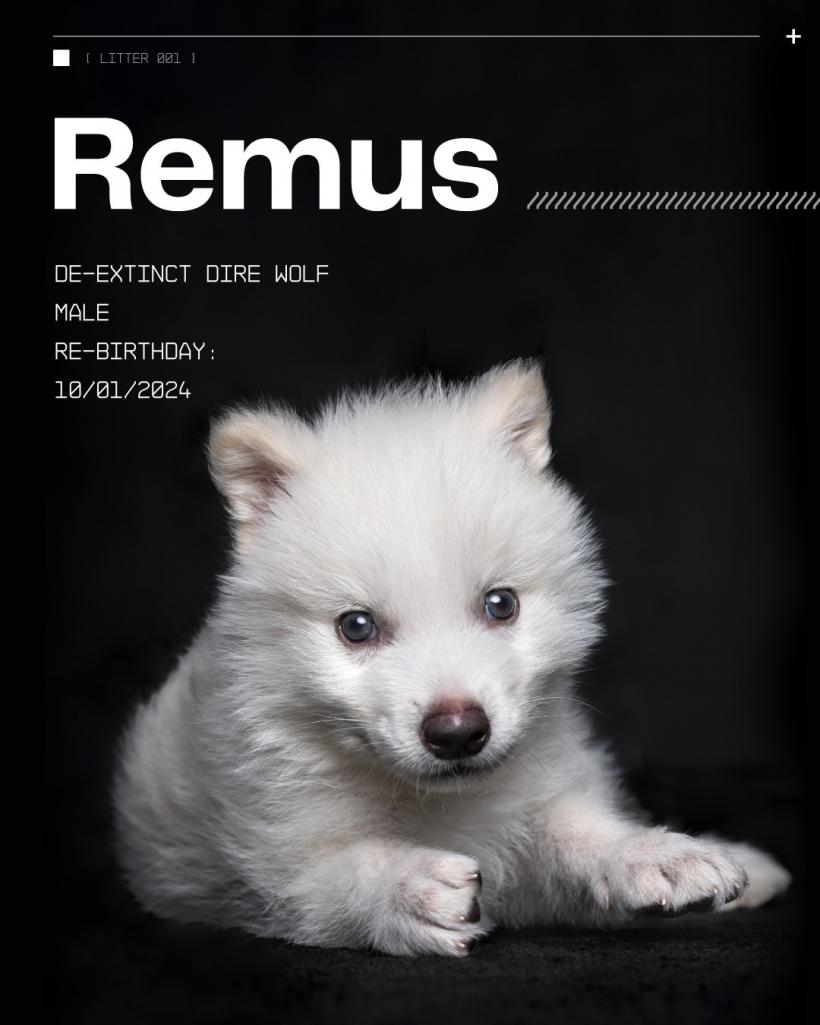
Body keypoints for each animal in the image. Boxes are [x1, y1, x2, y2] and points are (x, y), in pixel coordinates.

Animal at [114, 361, 790, 956]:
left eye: (500, 604)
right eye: (356, 627)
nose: (459, 731)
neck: (436, 804)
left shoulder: (536, 802)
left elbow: (575, 826)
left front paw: (652, 854)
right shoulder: (273, 859)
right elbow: (343, 870)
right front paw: (407, 887)